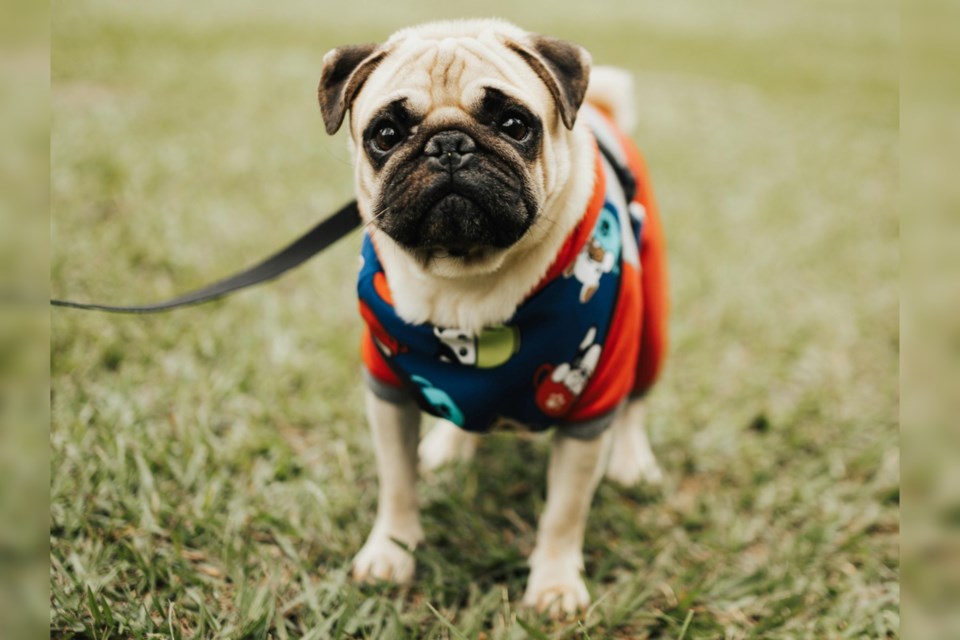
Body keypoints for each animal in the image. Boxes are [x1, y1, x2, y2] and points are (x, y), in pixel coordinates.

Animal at [316, 20, 668, 616]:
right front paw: (391, 552)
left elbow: (564, 512)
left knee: (637, 404)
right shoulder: (388, 391)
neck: (464, 282)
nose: (448, 146)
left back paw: (633, 462)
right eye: (385, 134)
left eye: (514, 125)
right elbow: (397, 483)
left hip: (648, 332)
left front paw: (554, 584)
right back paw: (450, 448)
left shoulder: (589, 407)